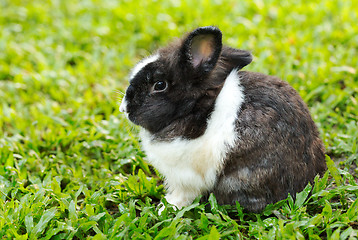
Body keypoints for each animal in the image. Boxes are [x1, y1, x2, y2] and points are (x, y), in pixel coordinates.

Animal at [119, 26, 328, 213]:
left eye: (159, 85)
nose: (124, 108)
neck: (193, 107)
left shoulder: (185, 177)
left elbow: (182, 195)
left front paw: (166, 207)